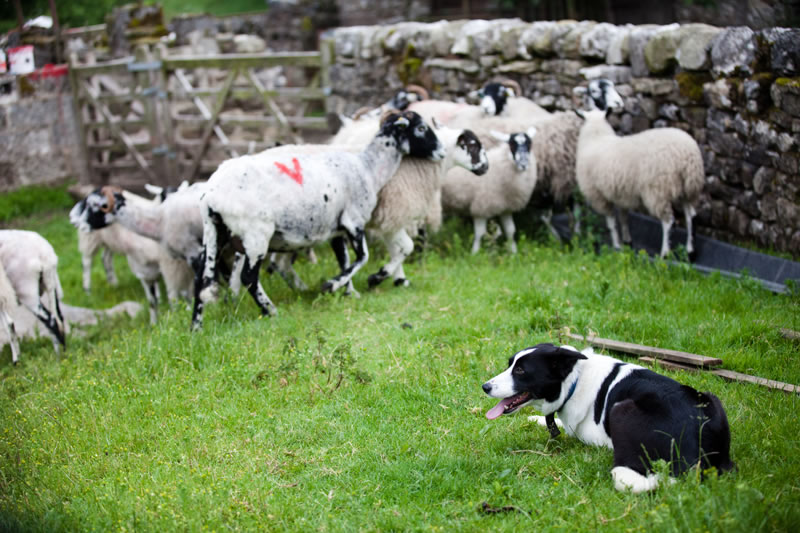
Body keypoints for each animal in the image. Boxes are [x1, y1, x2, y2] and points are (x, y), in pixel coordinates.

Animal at [0, 229, 66, 362]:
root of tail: (44, 254)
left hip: (27, 291)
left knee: (51, 321)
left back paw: (57, 358)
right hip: (51, 285)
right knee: (59, 318)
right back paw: (64, 352)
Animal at [191, 111, 446, 328]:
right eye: (421, 128)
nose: (442, 151)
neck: (368, 168)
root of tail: (212, 195)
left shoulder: (337, 230)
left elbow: (345, 260)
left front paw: (349, 292)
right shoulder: (354, 221)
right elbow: (362, 258)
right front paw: (332, 285)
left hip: (215, 232)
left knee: (201, 276)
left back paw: (196, 326)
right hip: (256, 235)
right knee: (248, 277)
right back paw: (270, 310)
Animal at [576, 108, 708, 258]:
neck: (597, 137)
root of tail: (687, 154)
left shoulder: (598, 196)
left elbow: (611, 223)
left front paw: (616, 245)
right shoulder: (620, 194)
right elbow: (623, 218)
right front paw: (627, 241)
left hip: (658, 191)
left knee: (668, 221)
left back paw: (665, 253)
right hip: (687, 188)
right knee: (691, 216)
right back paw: (690, 251)